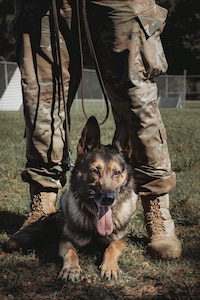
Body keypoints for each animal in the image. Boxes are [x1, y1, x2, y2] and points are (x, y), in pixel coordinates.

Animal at [57, 115, 138, 282]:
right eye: (95, 170)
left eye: (116, 172)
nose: (108, 199)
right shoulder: (64, 239)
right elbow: (71, 251)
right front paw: (71, 269)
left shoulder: (120, 239)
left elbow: (111, 248)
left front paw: (110, 267)